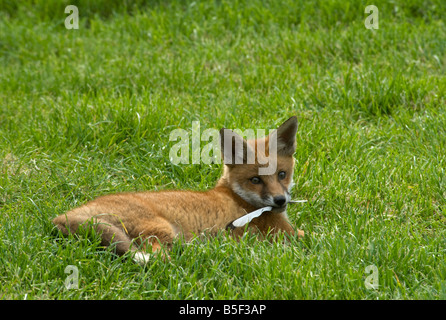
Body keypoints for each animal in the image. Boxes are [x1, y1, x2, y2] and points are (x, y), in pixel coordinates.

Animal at [52, 116, 304, 264]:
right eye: (255, 180)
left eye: (282, 174)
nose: (280, 200)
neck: (237, 196)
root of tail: (65, 216)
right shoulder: (285, 234)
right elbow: (309, 235)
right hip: (161, 229)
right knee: (158, 257)